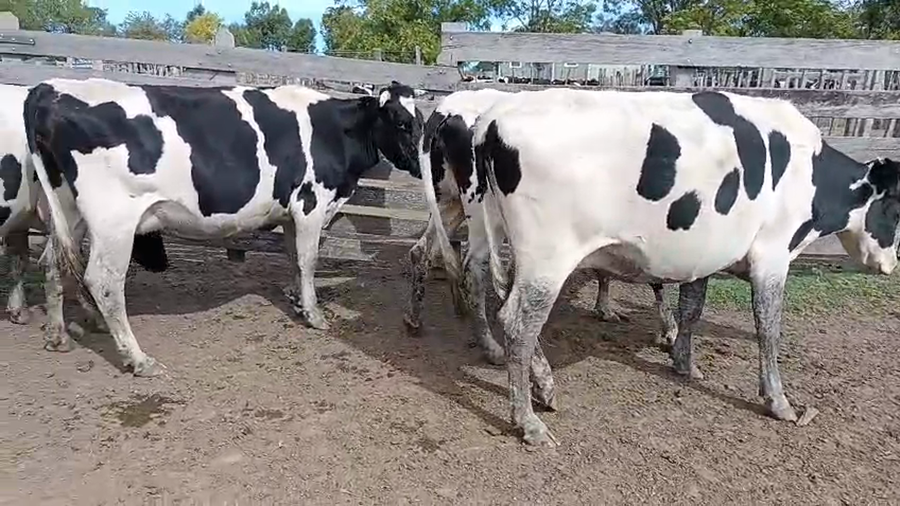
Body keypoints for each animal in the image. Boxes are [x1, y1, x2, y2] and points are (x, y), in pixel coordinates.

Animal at [26, 78, 423, 377]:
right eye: (401, 121)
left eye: (421, 121)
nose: (422, 165)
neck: (335, 131)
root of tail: (49, 89)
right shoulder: (310, 204)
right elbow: (308, 260)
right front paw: (314, 315)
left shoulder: (292, 213)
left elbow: (295, 259)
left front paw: (297, 301)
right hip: (114, 222)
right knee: (104, 282)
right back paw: (138, 359)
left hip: (68, 211)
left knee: (53, 263)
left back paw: (58, 336)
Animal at [404, 88, 678, 366]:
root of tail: (448, 109)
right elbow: (656, 281)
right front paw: (668, 332)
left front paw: (604, 309)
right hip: (480, 211)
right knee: (473, 269)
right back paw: (493, 347)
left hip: (450, 202)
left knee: (423, 250)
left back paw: (415, 320)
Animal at [467, 87, 900, 446]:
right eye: (896, 207)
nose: (891, 264)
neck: (808, 173)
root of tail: (495, 114)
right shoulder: (773, 255)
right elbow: (768, 331)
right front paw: (778, 400)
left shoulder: (705, 253)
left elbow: (691, 310)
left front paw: (683, 363)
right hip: (548, 256)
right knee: (518, 324)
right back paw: (528, 422)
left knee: (508, 307)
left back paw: (544, 386)